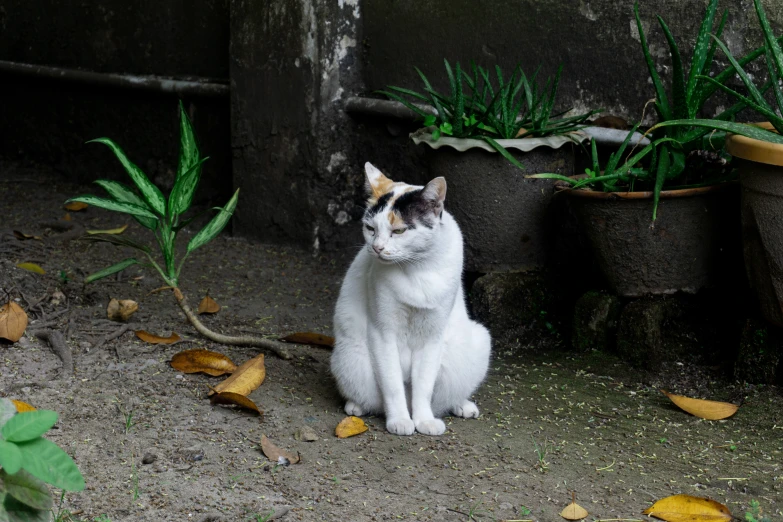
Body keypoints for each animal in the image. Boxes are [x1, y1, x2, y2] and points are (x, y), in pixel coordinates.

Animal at [330, 162, 490, 434]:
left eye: (399, 230)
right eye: (370, 229)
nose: (377, 248)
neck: (417, 269)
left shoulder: (432, 336)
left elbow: (424, 385)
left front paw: (424, 421)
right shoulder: (382, 333)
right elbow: (392, 384)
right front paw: (400, 421)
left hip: (477, 342)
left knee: (442, 398)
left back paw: (462, 405)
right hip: (349, 357)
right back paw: (356, 406)